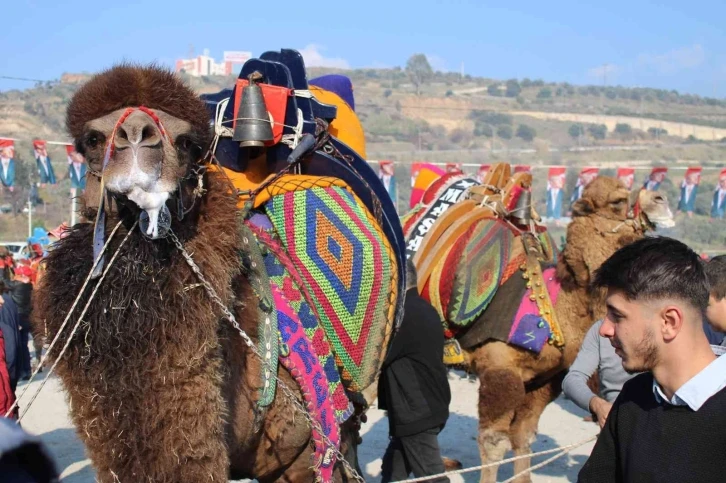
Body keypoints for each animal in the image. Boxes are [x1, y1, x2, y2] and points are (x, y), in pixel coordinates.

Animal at [404, 164, 676, 482]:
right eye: (617, 201)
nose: (661, 199)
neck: (553, 308)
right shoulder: (500, 369)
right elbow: (494, 442)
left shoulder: (545, 380)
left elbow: (523, 436)